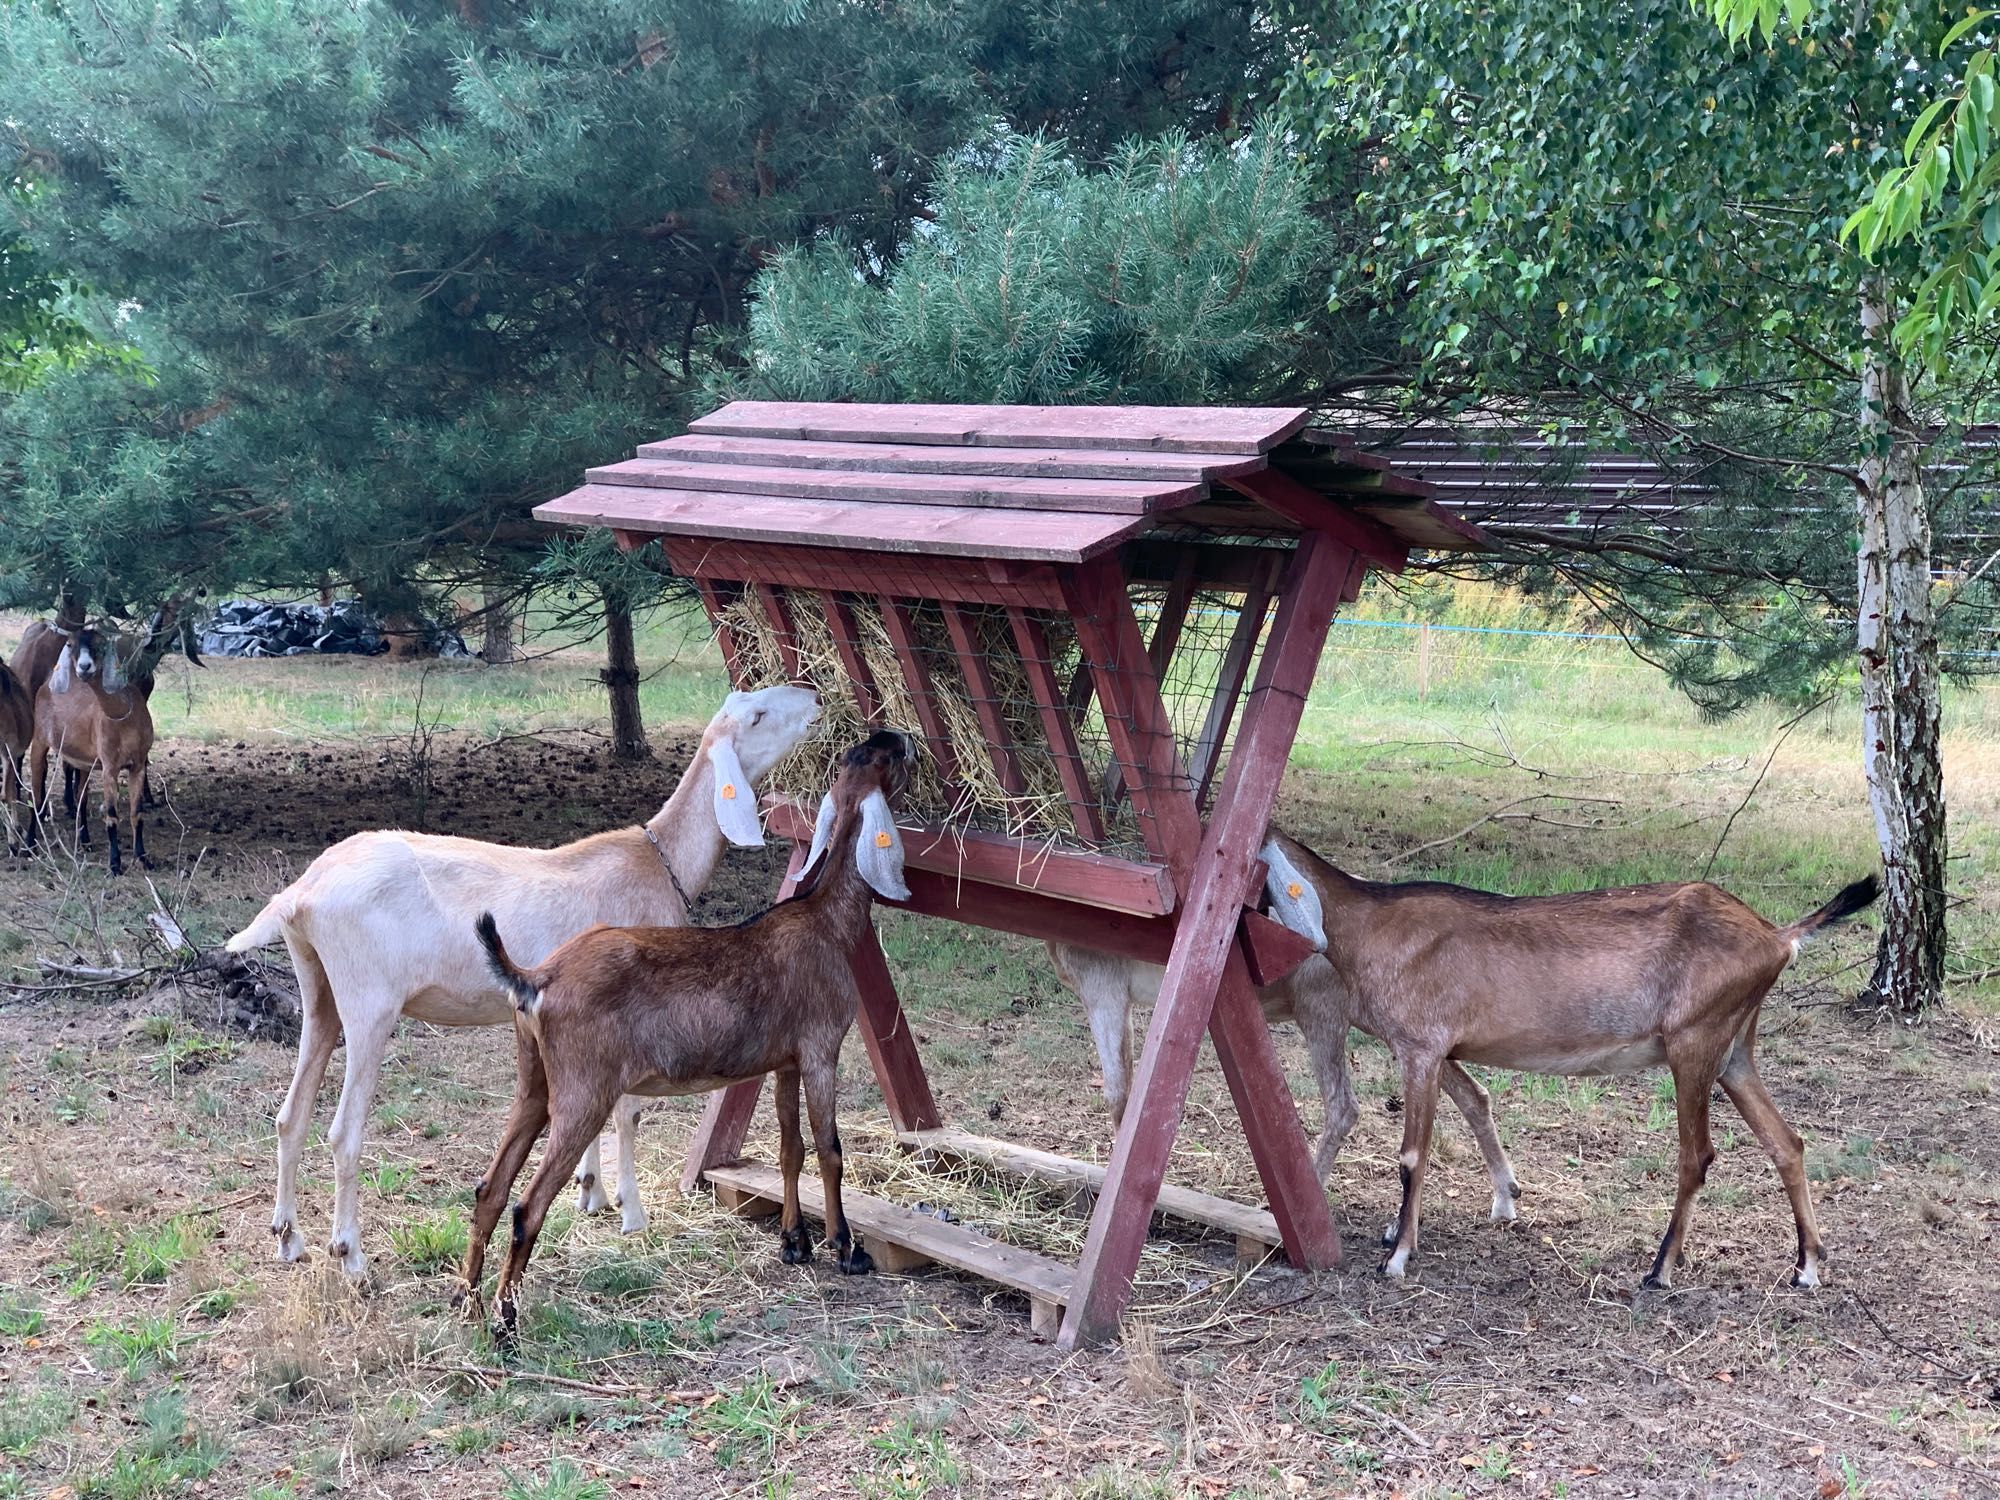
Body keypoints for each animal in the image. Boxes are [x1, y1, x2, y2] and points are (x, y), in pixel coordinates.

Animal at [232, 688, 820, 1272]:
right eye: (757, 716)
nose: (814, 700)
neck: (659, 861)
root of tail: (300, 895)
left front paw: (591, 1192)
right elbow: (628, 1112)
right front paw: (632, 1212)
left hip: (320, 990)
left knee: (290, 1117)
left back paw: (288, 1238)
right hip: (369, 1004)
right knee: (343, 1132)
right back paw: (350, 1254)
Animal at [456, 736, 916, 1336]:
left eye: (861, 758)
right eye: (886, 762)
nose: (901, 741)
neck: (824, 919)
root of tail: (537, 977)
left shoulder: (785, 1060)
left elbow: (790, 1149)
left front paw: (794, 1242)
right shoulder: (820, 1050)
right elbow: (829, 1151)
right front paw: (846, 1250)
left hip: (534, 1081)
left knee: (490, 1190)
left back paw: (466, 1302)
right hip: (584, 1093)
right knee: (525, 1208)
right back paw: (505, 1322)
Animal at [1280, 836, 1872, 1296]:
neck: (1369, 925)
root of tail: (1778, 937)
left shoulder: (1420, 1046)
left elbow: (1411, 1155)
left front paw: (1397, 1257)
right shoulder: (1438, 1049)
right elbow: (1470, 1105)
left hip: (1695, 1042)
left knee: (1697, 1155)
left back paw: (1660, 1269)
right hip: (1736, 1054)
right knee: (1786, 1143)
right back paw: (1806, 1267)